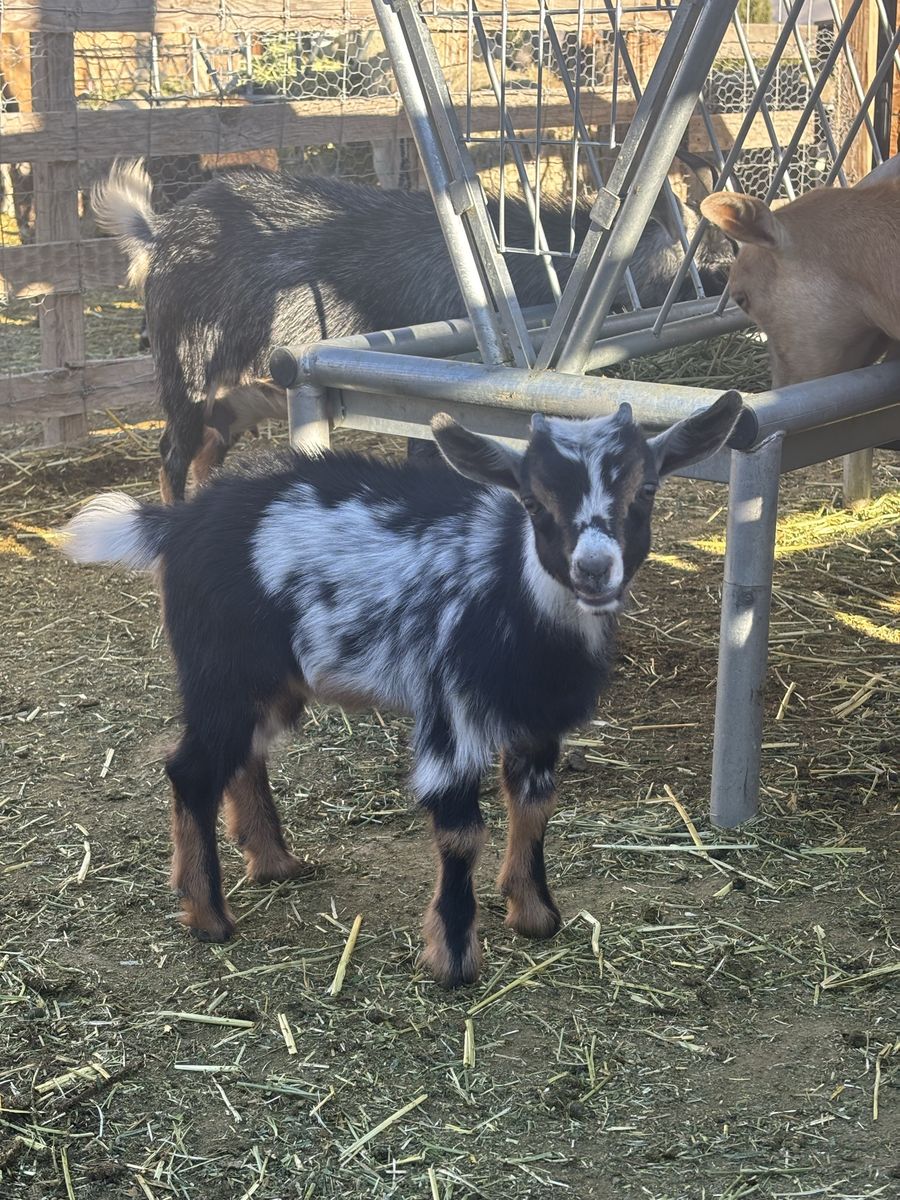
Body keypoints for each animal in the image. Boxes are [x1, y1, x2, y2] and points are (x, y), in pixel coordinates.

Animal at [61, 393, 741, 987]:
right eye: (532, 499)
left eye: (646, 490)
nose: (594, 570)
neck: (513, 593)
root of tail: (177, 522)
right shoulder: (452, 713)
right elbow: (461, 830)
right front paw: (455, 959)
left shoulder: (536, 720)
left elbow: (535, 805)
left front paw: (535, 915)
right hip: (221, 669)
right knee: (192, 768)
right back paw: (208, 917)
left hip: (273, 680)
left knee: (245, 754)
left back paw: (275, 864)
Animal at [92, 159, 734, 503]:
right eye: (698, 249)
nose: (725, 277)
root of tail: (158, 231)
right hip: (185, 371)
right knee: (170, 454)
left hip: (231, 404)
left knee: (203, 455)